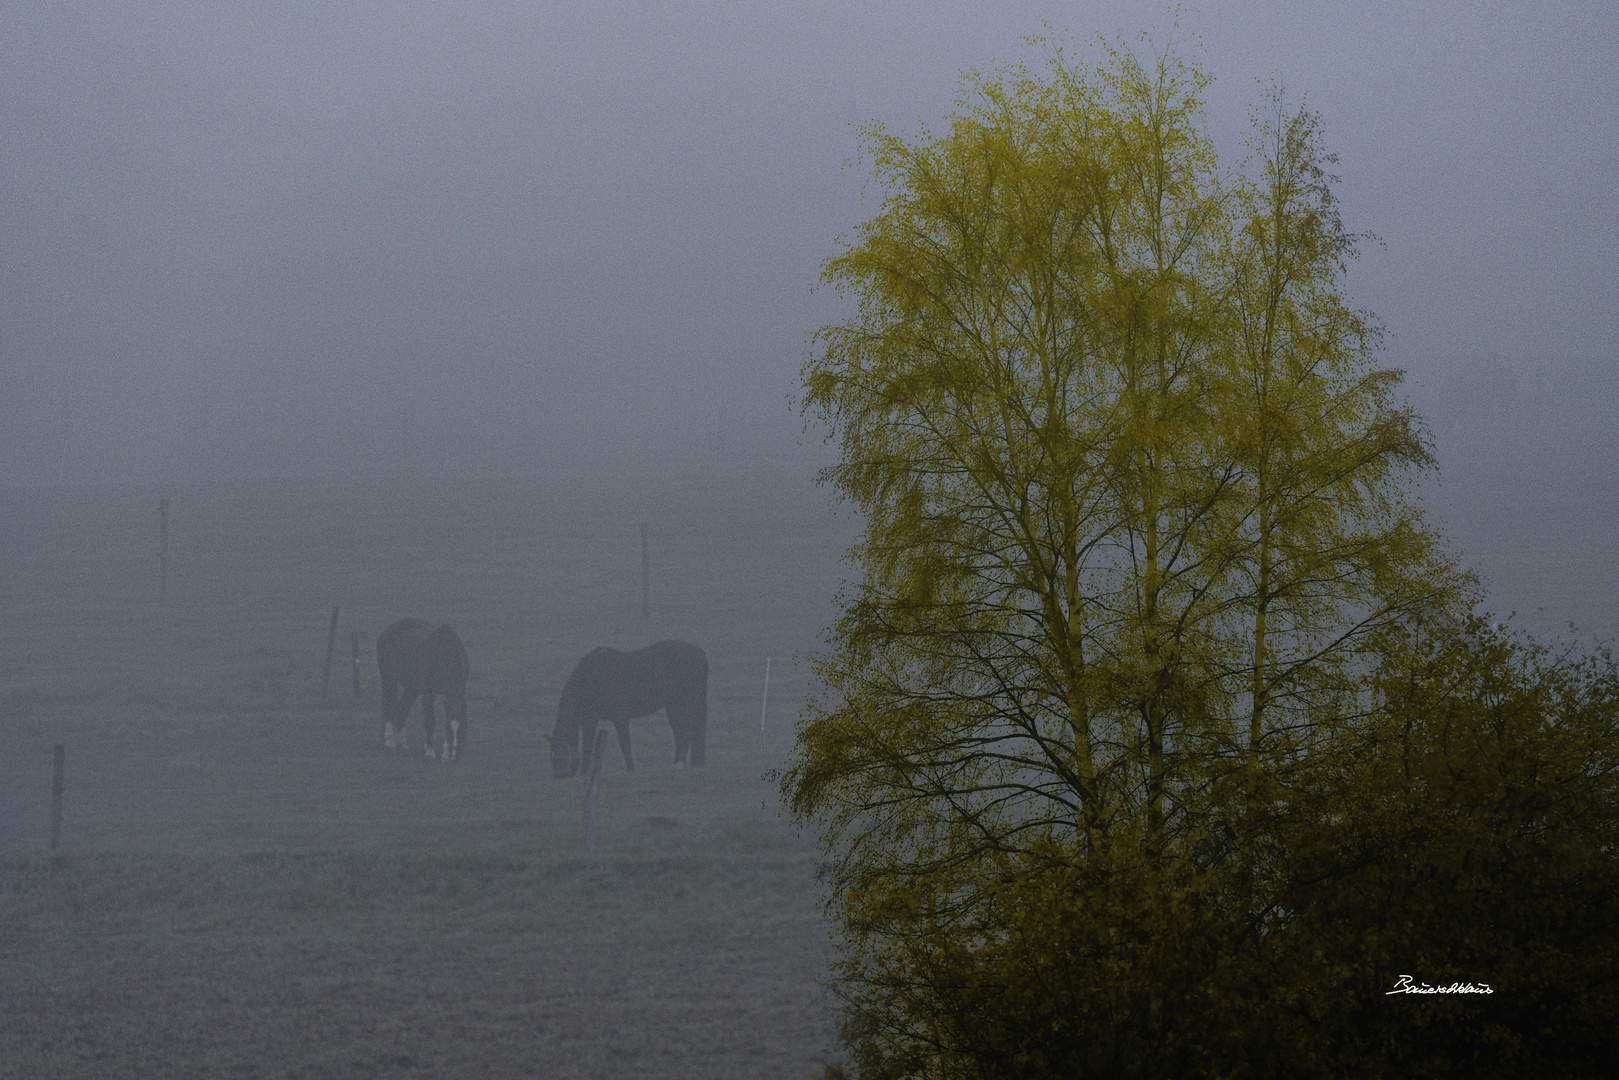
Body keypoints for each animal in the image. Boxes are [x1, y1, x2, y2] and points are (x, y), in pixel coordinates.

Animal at [380, 615, 472, 761]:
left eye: (464, 728)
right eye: (448, 729)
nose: (454, 758)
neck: (446, 654)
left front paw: (445, 752)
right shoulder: (428, 693)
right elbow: (430, 720)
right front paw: (430, 751)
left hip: (412, 688)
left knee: (402, 709)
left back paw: (403, 743)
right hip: (389, 680)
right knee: (388, 705)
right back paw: (390, 740)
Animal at [547, 637, 705, 780]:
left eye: (559, 752)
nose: (558, 776)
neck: (590, 679)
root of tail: (699, 652)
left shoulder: (620, 718)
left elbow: (624, 743)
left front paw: (631, 768)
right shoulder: (589, 721)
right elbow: (587, 745)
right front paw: (584, 773)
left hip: (682, 704)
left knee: (685, 732)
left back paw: (679, 764)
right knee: (682, 732)